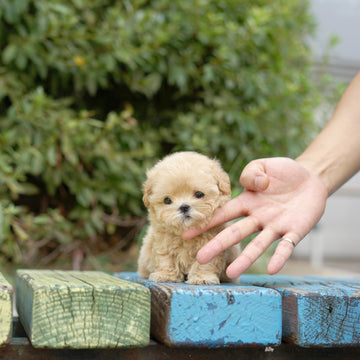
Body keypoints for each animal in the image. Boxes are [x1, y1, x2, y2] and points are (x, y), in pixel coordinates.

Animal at [138, 151, 239, 284]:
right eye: (167, 200)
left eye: (199, 194)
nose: (184, 207)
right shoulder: (162, 241)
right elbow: (166, 258)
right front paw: (166, 275)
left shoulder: (210, 246)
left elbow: (205, 262)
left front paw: (202, 277)